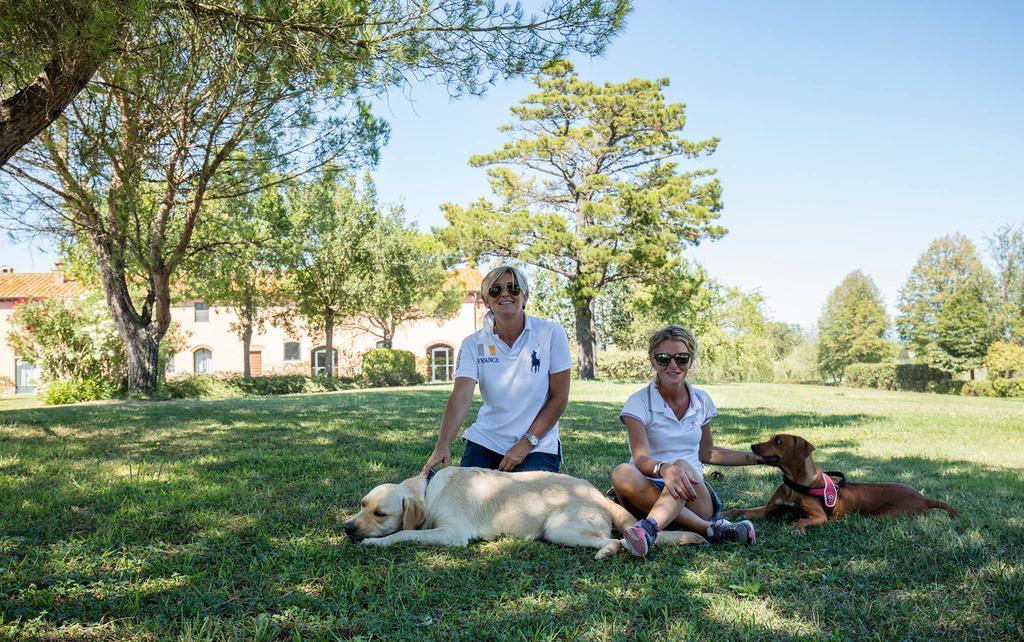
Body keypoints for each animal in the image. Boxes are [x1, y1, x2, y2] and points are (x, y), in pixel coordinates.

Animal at [344, 466, 704, 557]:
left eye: (380, 514)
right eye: (362, 505)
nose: (347, 528)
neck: (429, 491)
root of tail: (599, 496)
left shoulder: (452, 535)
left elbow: (406, 532)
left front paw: (375, 542)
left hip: (558, 528)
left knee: (615, 540)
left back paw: (606, 551)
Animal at [724, 434, 954, 536]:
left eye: (778, 441)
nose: (752, 445)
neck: (794, 483)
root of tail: (923, 498)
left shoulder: (819, 516)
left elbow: (801, 520)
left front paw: (797, 529)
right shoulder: (769, 508)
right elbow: (743, 510)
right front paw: (727, 512)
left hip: (886, 515)